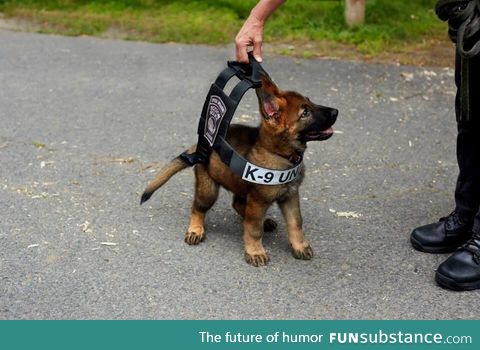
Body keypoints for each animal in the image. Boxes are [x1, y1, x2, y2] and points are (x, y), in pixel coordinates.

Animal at [142, 73, 338, 266]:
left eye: (310, 102)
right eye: (305, 113)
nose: (336, 111)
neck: (279, 154)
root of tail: (199, 147)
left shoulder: (290, 196)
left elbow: (296, 223)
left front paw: (299, 246)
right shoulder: (258, 201)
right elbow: (253, 229)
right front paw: (255, 251)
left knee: (237, 205)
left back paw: (263, 221)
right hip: (208, 190)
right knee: (198, 208)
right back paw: (195, 230)